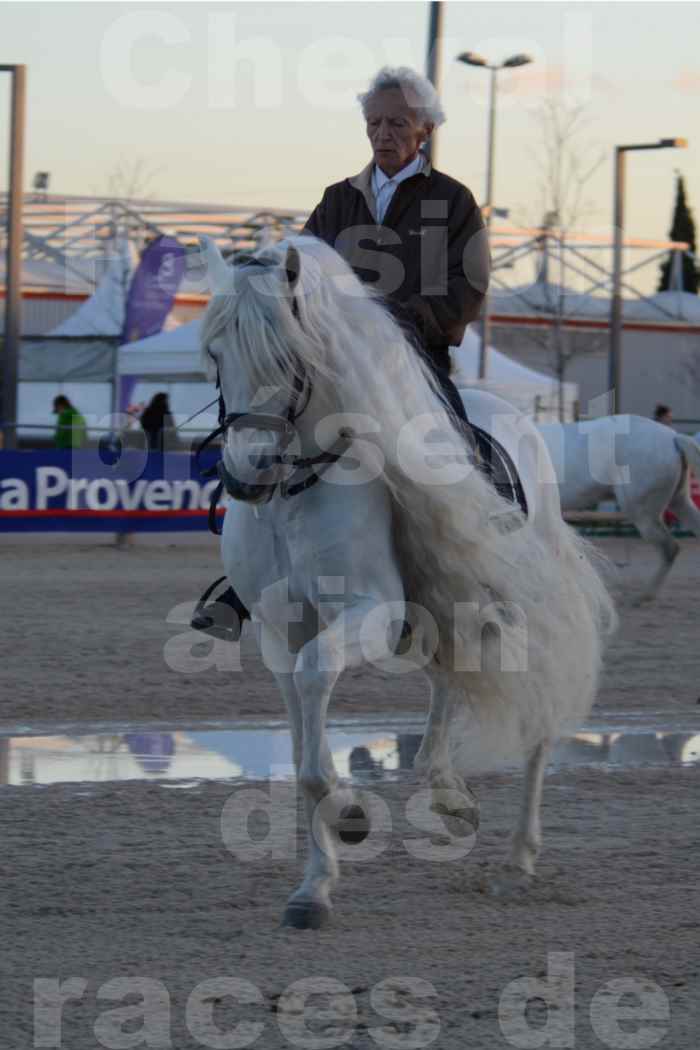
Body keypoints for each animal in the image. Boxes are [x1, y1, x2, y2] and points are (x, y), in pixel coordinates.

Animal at [197, 236, 612, 928]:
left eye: (289, 356)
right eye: (213, 352)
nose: (246, 475)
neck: (295, 493)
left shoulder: (370, 613)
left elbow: (317, 684)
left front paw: (348, 816)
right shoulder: (280, 635)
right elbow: (301, 744)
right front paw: (316, 883)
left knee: (537, 708)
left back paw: (518, 859)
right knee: (446, 679)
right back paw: (446, 793)